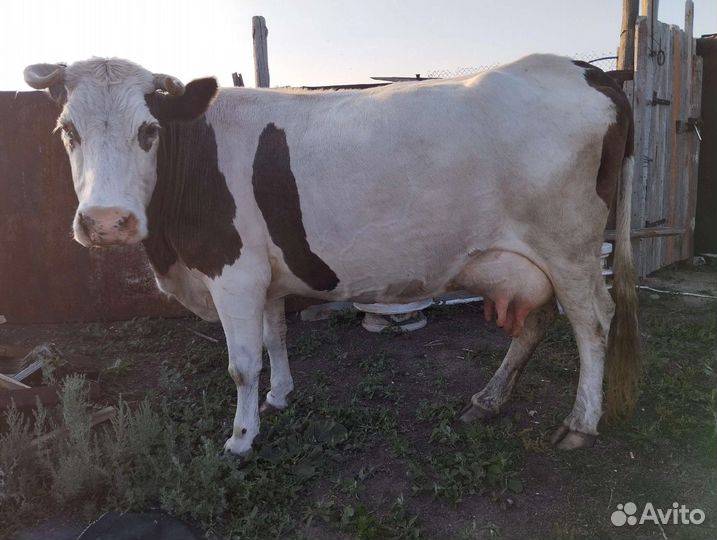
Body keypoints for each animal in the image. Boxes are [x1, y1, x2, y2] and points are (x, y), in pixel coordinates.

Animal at [24, 54, 639, 456]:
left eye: (149, 131)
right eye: (67, 131)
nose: (107, 222)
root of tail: (583, 68)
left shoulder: (234, 272)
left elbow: (241, 363)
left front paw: (241, 437)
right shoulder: (265, 275)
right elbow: (275, 337)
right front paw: (279, 396)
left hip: (571, 245)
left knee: (593, 321)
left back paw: (580, 423)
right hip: (534, 257)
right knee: (537, 321)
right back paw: (487, 400)